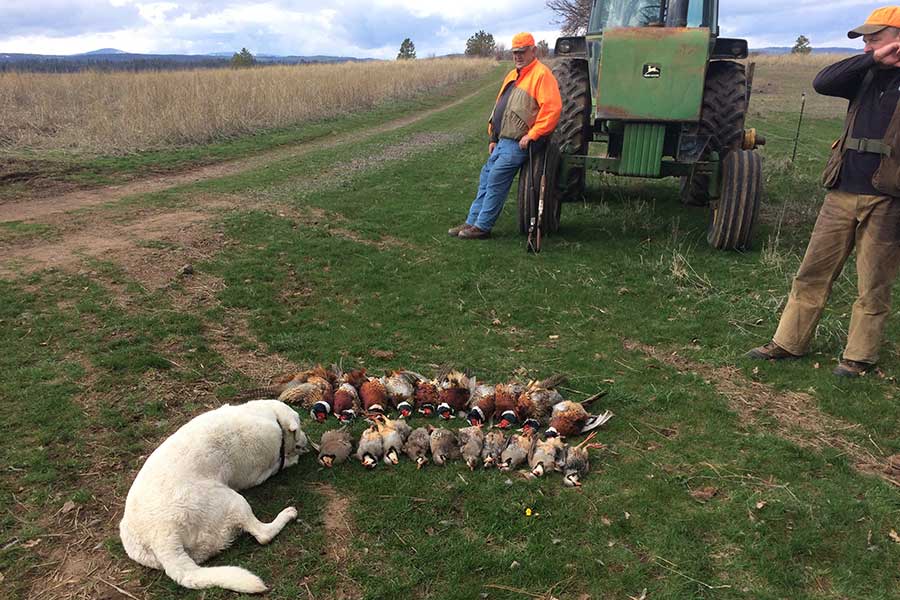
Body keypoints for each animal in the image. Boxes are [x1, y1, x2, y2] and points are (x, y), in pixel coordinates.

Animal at [119, 400, 312, 592]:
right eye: (300, 427)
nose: (307, 440)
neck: (269, 415)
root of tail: (162, 539)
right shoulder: (257, 474)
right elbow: (279, 464)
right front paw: (292, 459)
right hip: (232, 500)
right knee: (263, 534)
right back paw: (287, 514)